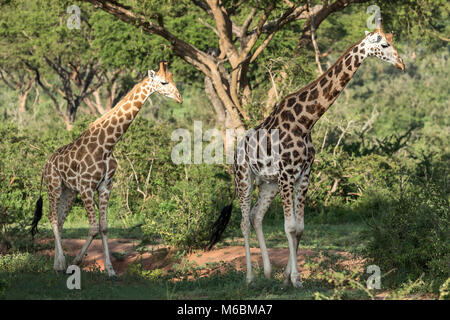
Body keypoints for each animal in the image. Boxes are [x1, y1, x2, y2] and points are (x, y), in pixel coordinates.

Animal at [30, 61, 183, 276]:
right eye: (163, 82)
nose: (179, 98)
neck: (108, 144)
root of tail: (45, 165)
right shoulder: (87, 186)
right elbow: (93, 228)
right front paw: (75, 263)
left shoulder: (104, 186)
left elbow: (103, 228)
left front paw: (110, 270)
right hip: (55, 186)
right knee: (52, 218)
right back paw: (61, 263)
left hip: (69, 192)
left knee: (59, 221)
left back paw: (57, 264)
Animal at [207, 19, 404, 288]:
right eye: (384, 44)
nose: (401, 63)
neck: (306, 121)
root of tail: (236, 151)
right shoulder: (287, 175)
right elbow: (289, 227)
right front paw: (296, 280)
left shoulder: (303, 175)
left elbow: (299, 228)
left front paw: (286, 278)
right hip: (244, 178)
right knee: (244, 221)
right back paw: (249, 277)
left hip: (268, 183)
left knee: (256, 216)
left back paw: (267, 272)